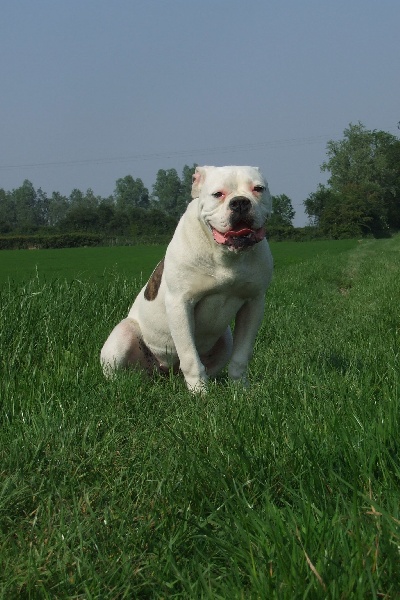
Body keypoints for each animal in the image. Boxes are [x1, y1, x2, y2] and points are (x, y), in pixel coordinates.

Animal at [101, 164, 274, 392]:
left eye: (258, 189)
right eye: (218, 194)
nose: (240, 202)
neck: (225, 255)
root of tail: (164, 372)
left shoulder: (253, 303)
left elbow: (241, 356)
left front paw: (241, 391)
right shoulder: (180, 304)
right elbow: (190, 358)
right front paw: (200, 394)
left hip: (225, 340)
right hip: (123, 335)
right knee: (118, 375)